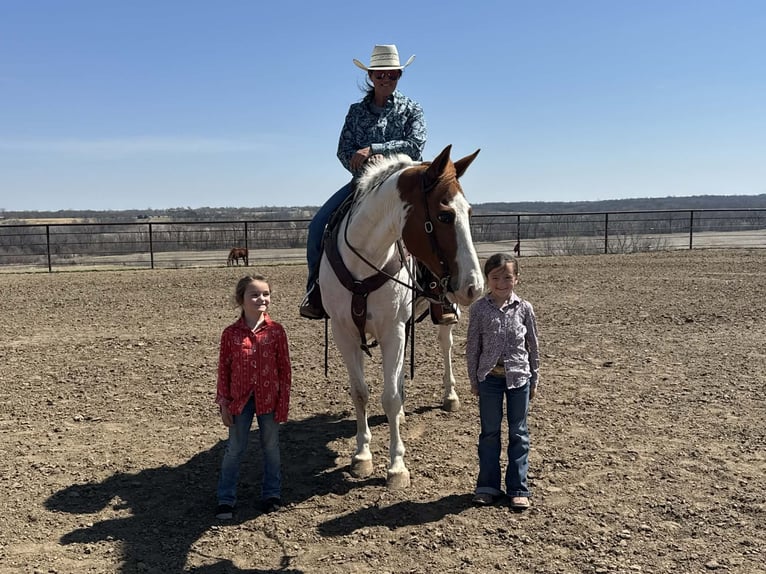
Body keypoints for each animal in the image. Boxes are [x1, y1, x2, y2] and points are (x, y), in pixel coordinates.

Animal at [318, 145, 484, 488]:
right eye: (445, 215)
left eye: (469, 213)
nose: (475, 286)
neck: (364, 260)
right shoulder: (344, 333)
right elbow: (361, 393)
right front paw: (362, 456)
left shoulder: (392, 330)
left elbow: (390, 397)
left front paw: (396, 467)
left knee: (445, 346)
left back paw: (449, 396)